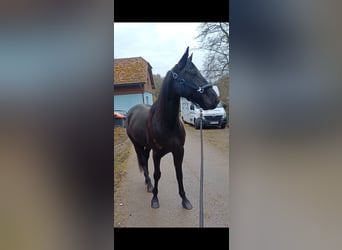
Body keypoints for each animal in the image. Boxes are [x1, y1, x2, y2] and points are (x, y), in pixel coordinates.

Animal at [125, 47, 219, 209]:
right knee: (143, 161)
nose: (215, 99)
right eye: (191, 72)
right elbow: (157, 174)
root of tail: (131, 111)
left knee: (145, 160)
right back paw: (149, 184)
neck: (166, 123)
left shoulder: (179, 151)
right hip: (136, 144)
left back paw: (148, 183)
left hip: (146, 146)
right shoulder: (157, 153)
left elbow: (179, 174)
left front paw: (184, 199)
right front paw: (155, 199)